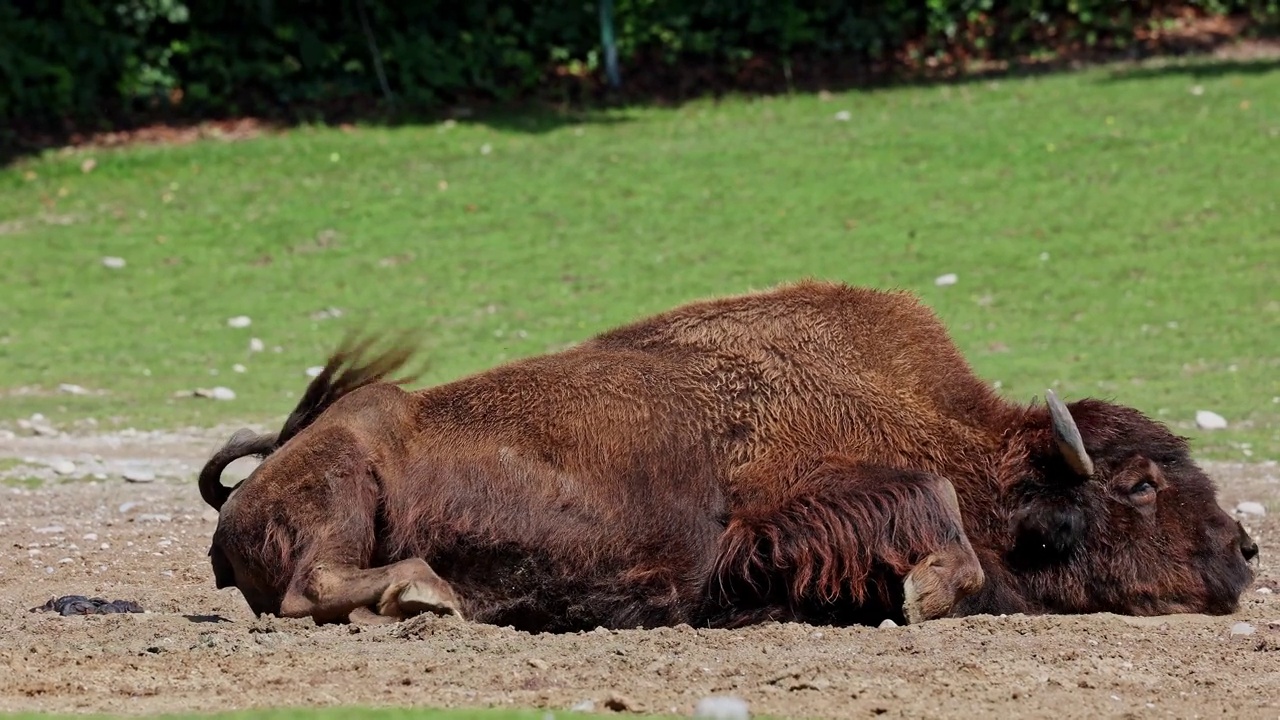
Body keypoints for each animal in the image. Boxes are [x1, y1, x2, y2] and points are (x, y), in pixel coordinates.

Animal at [199, 280, 1259, 627]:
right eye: (1137, 482)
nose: (1247, 551)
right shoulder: (771, 514)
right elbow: (931, 507)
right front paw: (922, 593)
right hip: (346, 482)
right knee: (313, 583)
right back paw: (425, 594)